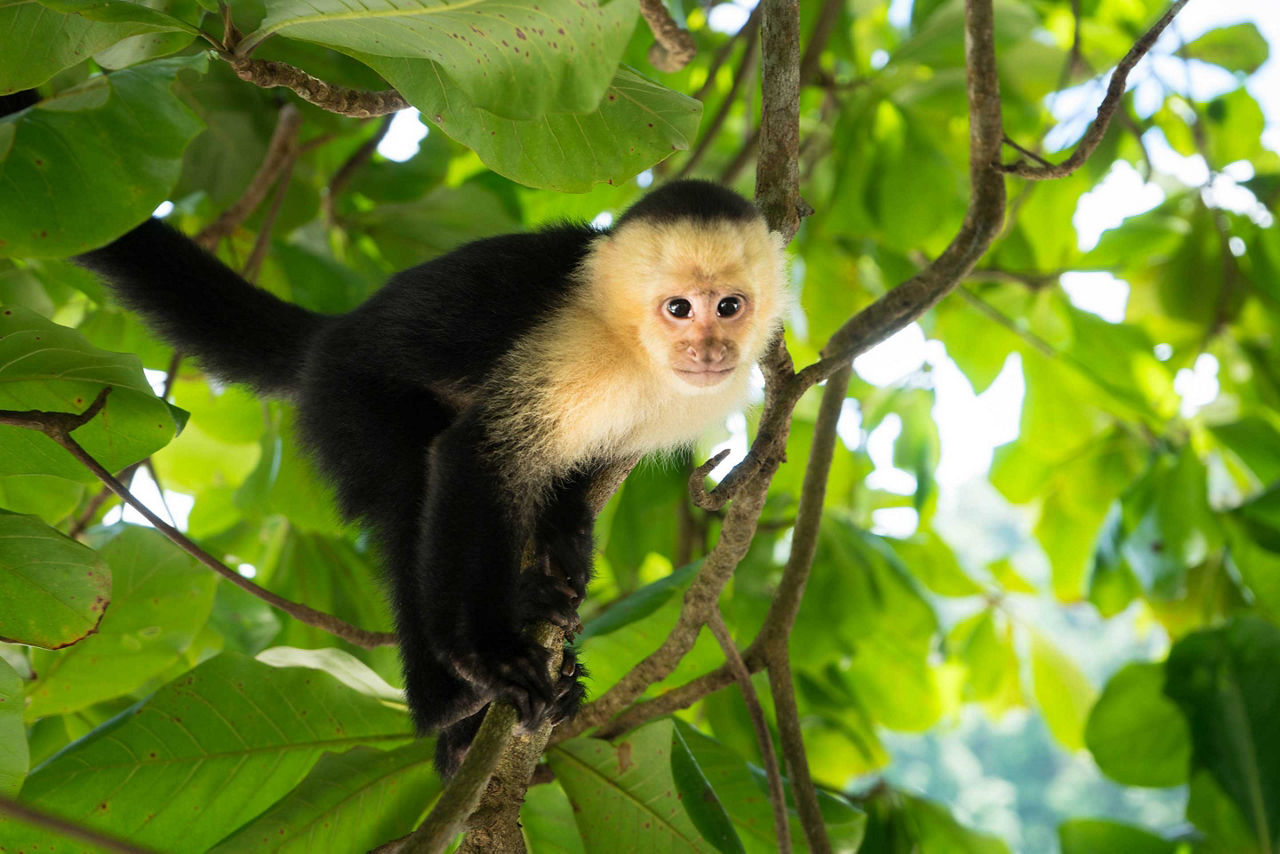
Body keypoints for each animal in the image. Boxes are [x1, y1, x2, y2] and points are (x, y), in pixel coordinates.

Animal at [77, 179, 788, 773]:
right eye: (679, 308)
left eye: (729, 306)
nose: (709, 350)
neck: (634, 348)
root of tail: (333, 335)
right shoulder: (576, 347)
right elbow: (479, 454)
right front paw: (489, 655)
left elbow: (574, 469)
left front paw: (564, 539)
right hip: (350, 401)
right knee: (410, 498)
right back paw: (450, 707)